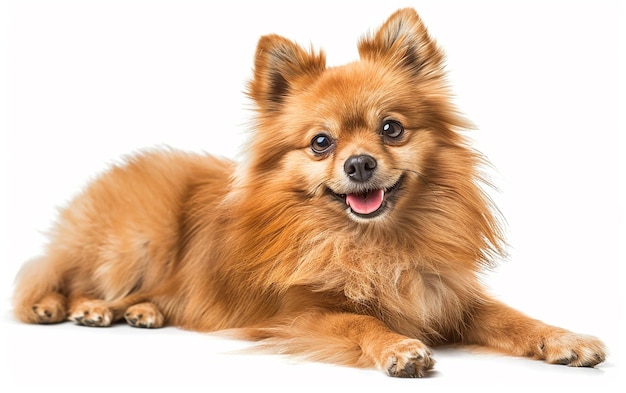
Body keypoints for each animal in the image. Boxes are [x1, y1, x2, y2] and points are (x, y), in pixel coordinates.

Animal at [12, 9, 604, 376]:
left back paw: (143, 311)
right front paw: (397, 347)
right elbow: (360, 319)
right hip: (136, 242)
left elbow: (513, 318)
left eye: (392, 129)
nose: (360, 163)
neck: (373, 244)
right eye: (321, 143)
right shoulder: (297, 316)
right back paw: (74, 307)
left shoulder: (445, 296)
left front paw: (565, 339)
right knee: (60, 277)